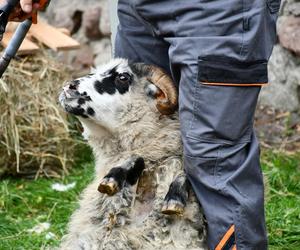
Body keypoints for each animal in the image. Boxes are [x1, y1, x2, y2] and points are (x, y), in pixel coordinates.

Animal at [58, 58, 206, 250]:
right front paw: (112, 179)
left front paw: (174, 199)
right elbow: (136, 159)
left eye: (123, 77)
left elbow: (183, 170)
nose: (69, 86)